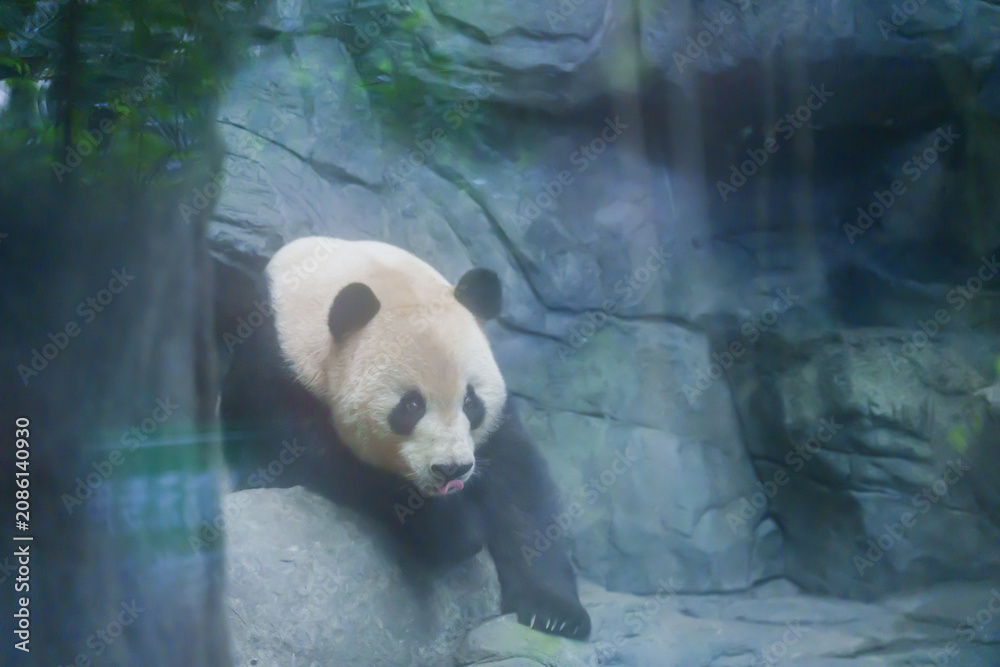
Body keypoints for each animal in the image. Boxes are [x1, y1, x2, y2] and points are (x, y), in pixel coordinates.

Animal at [220, 236, 591, 639]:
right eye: (412, 405)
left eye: (471, 401)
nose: (452, 469)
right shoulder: (273, 376)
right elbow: (326, 462)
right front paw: (458, 529)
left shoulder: (491, 425)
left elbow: (520, 483)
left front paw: (554, 611)